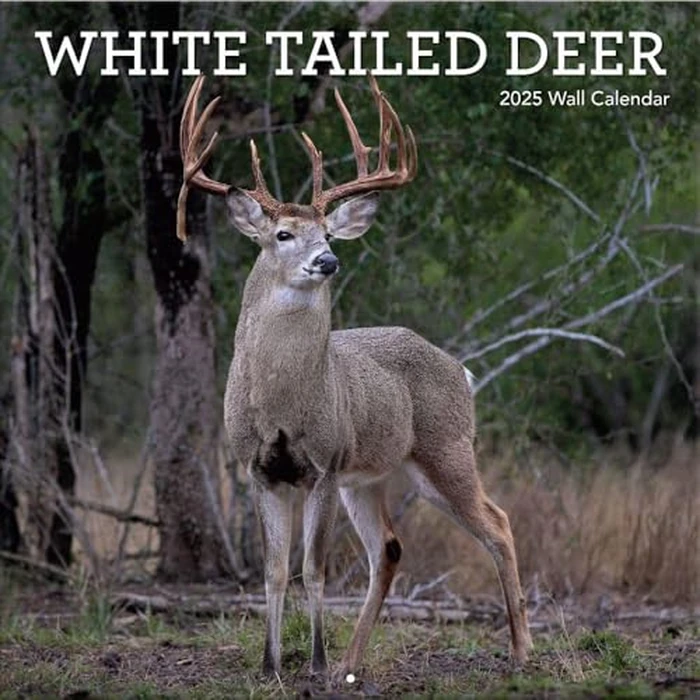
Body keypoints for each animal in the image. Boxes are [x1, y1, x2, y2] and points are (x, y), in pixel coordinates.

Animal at [176, 75, 533, 681]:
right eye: (282, 234)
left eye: (328, 233)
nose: (327, 261)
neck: (281, 405)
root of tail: (460, 368)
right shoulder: (259, 469)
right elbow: (274, 570)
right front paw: (271, 666)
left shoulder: (323, 463)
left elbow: (313, 568)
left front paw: (314, 664)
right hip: (367, 477)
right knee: (388, 547)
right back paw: (352, 661)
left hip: (444, 449)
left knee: (499, 523)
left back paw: (522, 650)